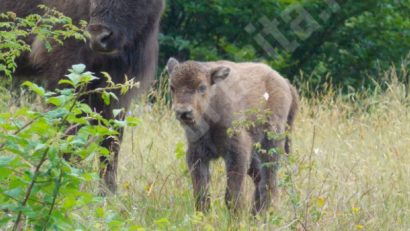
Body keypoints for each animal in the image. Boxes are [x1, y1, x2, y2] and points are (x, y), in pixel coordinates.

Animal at [2, 0, 165, 193]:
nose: (98, 37)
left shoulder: (116, 91)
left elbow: (111, 140)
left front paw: (108, 192)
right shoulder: (65, 75)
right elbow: (69, 133)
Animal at [167, 58, 298, 215]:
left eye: (202, 87)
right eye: (172, 87)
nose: (183, 112)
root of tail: (285, 83)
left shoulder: (237, 151)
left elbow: (232, 195)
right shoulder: (196, 154)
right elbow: (201, 193)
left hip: (271, 143)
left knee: (269, 180)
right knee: (260, 179)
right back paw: (255, 214)